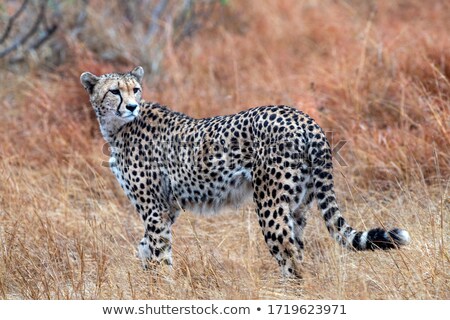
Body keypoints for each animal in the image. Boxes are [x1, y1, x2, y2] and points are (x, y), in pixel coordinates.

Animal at [79, 66, 410, 276]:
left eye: (135, 90)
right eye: (114, 91)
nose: (131, 106)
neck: (117, 128)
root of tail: (302, 116)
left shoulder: (154, 208)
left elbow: (159, 250)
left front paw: (161, 286)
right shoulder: (168, 207)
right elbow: (146, 246)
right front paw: (147, 270)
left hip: (270, 203)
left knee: (289, 255)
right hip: (298, 204)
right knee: (298, 249)